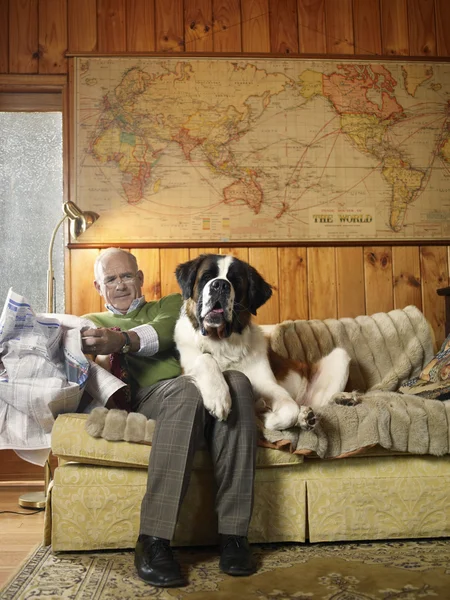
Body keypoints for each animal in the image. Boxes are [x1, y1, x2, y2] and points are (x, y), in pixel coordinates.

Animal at [174, 253, 354, 432]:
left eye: (236, 282)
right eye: (206, 277)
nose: (220, 285)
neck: (221, 341)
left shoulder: (267, 384)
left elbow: (289, 410)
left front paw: (265, 415)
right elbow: (205, 358)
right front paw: (218, 396)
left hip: (340, 356)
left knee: (317, 403)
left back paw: (339, 400)